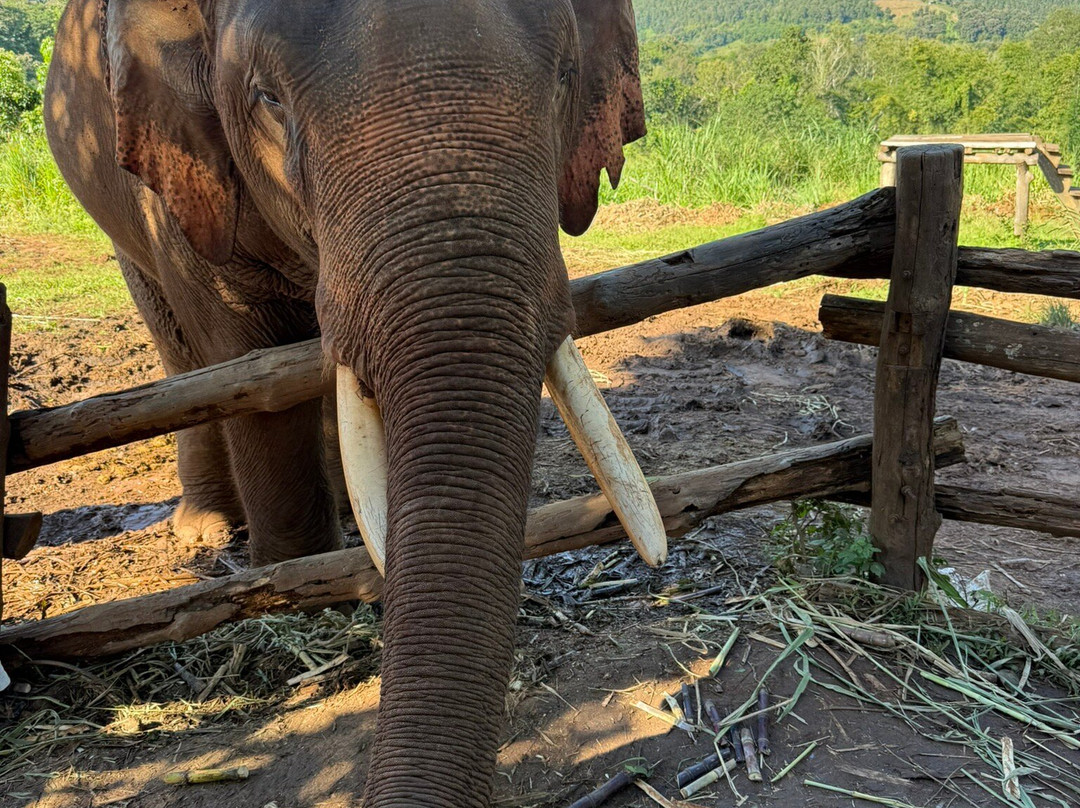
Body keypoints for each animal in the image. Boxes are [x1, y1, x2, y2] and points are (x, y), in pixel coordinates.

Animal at [45, 0, 647, 805]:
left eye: (565, 76)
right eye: (268, 99)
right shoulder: (180, 171)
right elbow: (243, 363)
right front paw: (303, 586)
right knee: (182, 351)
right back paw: (210, 533)